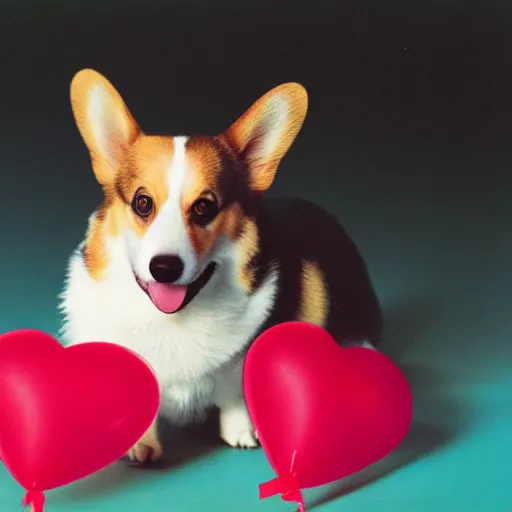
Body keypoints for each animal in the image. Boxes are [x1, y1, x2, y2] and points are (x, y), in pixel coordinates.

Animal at [59, 70, 380, 466]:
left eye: (204, 207)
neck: (172, 320)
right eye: (142, 203)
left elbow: (233, 393)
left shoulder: (240, 362)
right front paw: (140, 444)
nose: (165, 267)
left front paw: (241, 431)